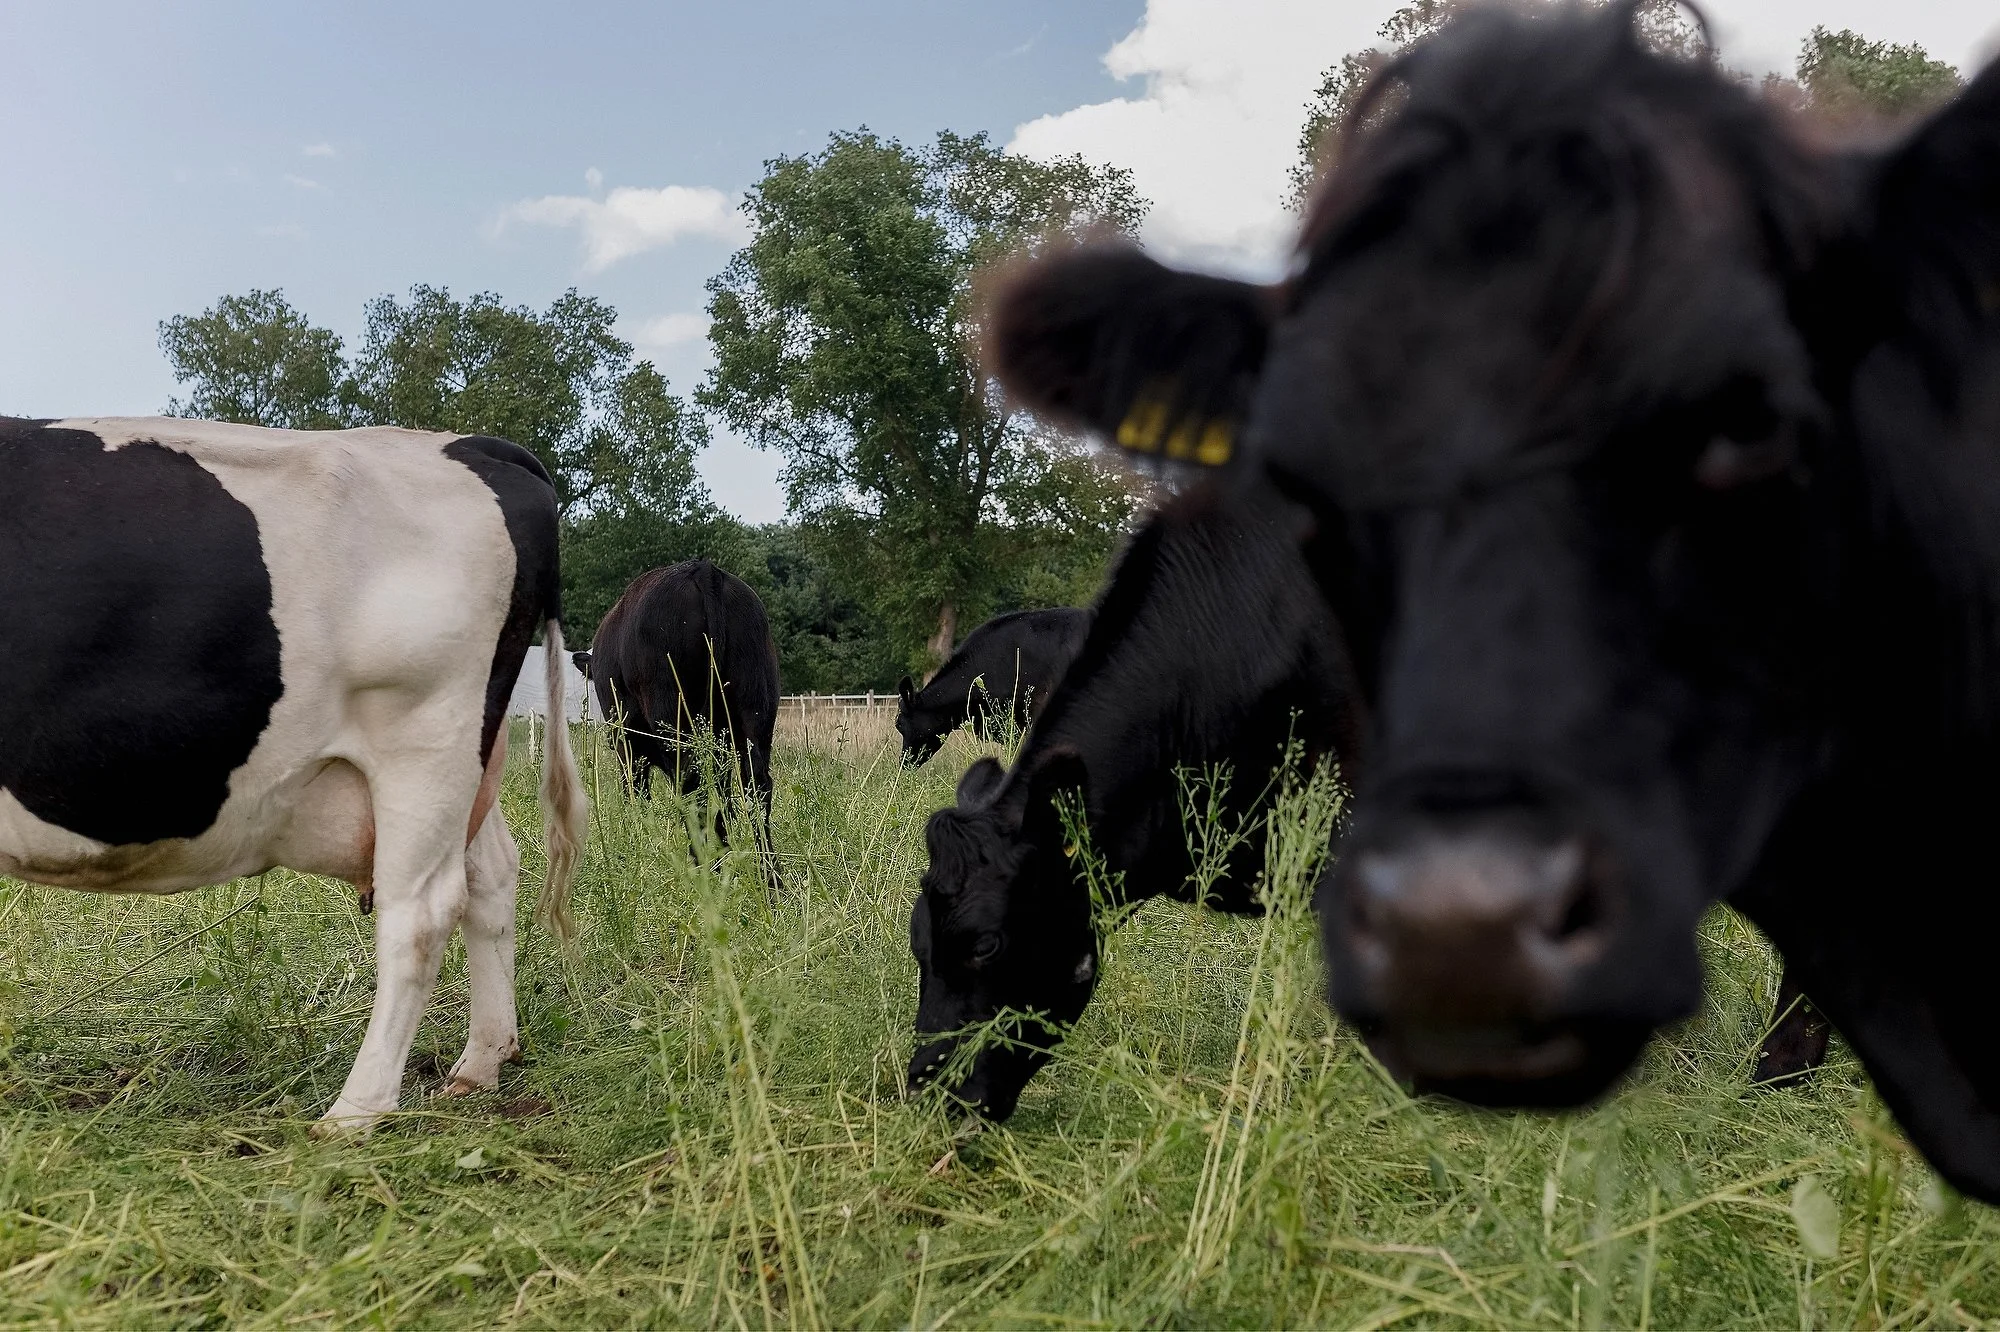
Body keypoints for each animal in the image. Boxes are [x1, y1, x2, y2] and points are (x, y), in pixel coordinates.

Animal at [0, 416, 588, 1131]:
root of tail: (468, 443)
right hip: (474, 755)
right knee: (492, 876)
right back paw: (480, 1064)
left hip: (426, 737)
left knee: (421, 911)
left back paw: (354, 1113)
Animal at [581, 559, 780, 841]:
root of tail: (704, 569)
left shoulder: (626, 745)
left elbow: (636, 793)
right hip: (756, 707)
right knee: (756, 784)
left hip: (673, 717)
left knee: (693, 791)